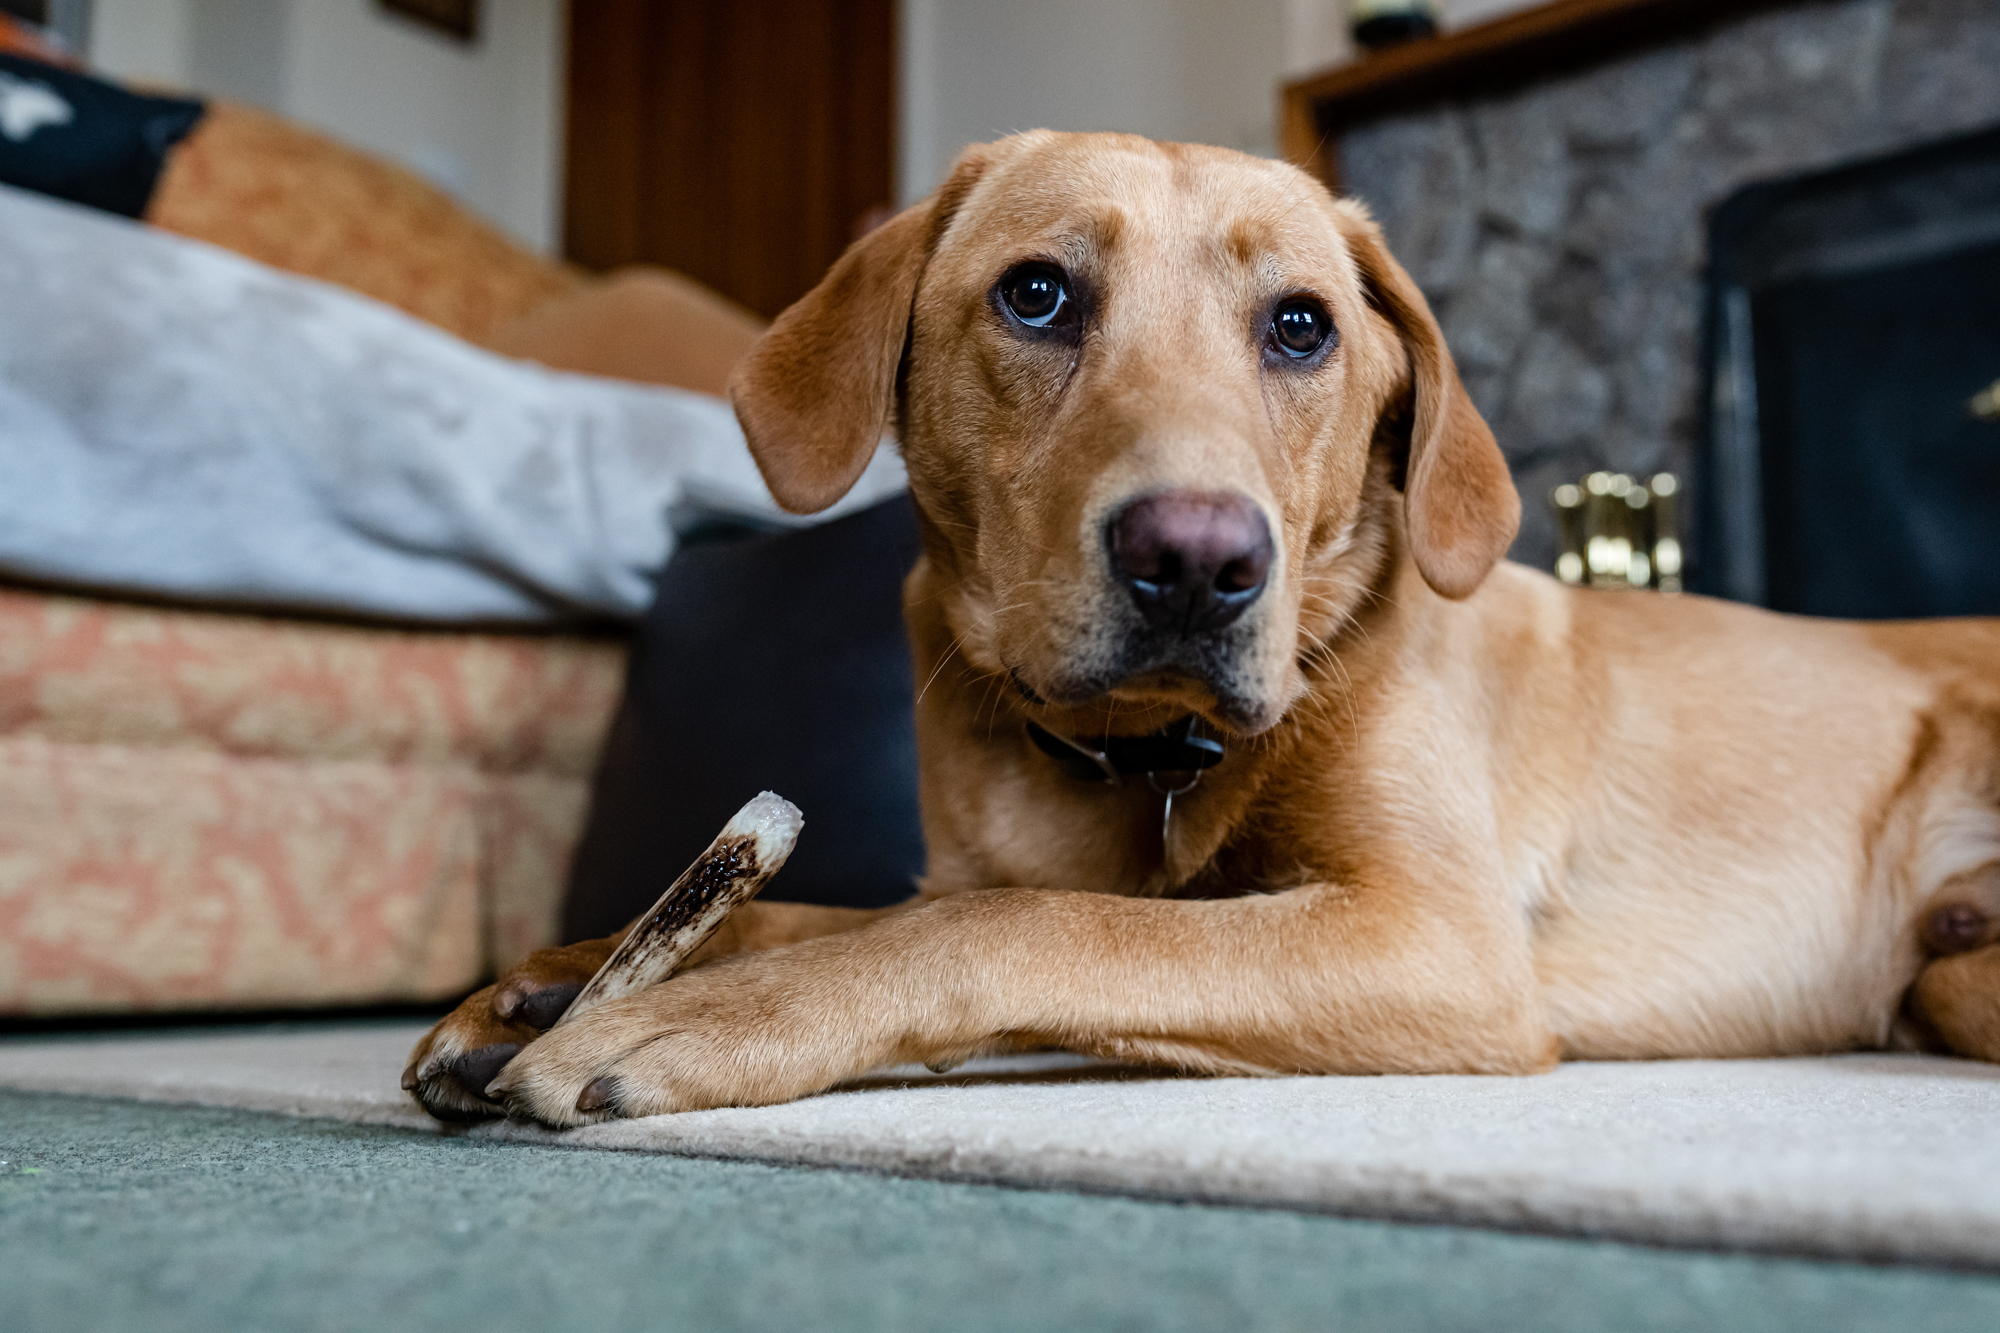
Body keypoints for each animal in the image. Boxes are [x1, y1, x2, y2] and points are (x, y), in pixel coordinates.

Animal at [402, 130, 2000, 1120]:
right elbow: (855, 902)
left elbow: (1017, 923)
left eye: (1301, 326)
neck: (1146, 754)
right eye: (1036, 294)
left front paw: (705, 1013)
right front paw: (560, 973)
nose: (1196, 562)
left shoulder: (1436, 937)